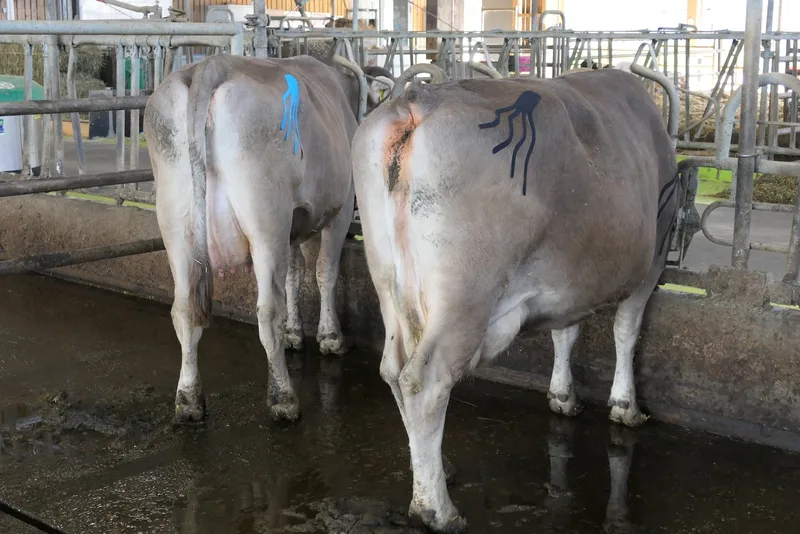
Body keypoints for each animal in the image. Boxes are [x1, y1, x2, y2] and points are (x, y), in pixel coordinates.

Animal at [143, 53, 392, 424]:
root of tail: (210, 66)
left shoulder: (294, 224)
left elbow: (294, 274)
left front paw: (295, 333)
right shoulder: (341, 207)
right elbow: (325, 272)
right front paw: (330, 337)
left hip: (176, 225)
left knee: (184, 309)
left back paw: (189, 400)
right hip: (265, 220)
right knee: (266, 311)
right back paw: (283, 398)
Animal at [350, 68, 679, 532]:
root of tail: (414, 102)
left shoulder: (570, 280)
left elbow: (566, 333)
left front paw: (563, 396)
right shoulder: (653, 256)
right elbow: (626, 330)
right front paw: (625, 406)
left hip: (390, 285)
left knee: (394, 370)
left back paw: (433, 469)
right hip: (464, 297)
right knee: (425, 381)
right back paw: (437, 508)